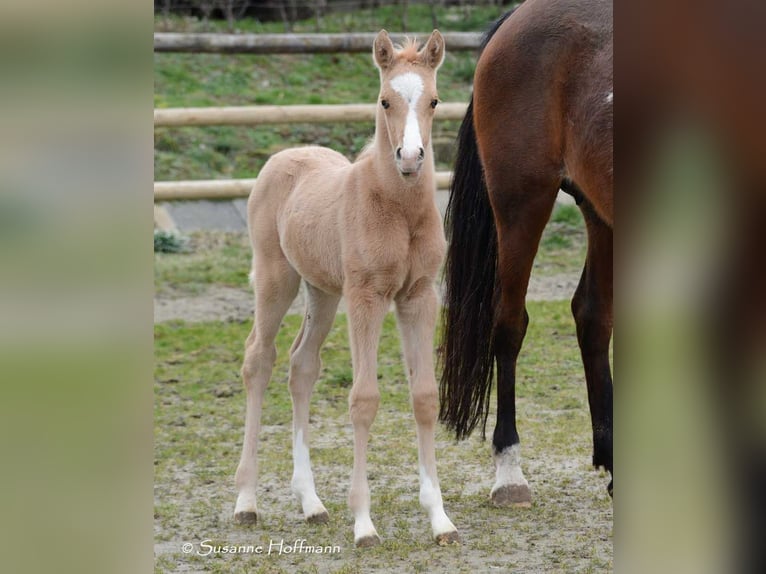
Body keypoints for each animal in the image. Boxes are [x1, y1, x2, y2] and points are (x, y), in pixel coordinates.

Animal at [234, 30, 460, 548]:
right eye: (384, 100)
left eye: (434, 101)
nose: (411, 159)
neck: (396, 209)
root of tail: (283, 156)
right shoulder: (367, 297)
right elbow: (364, 400)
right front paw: (363, 523)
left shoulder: (418, 297)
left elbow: (424, 397)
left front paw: (440, 518)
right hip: (277, 278)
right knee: (259, 359)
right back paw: (246, 501)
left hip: (322, 291)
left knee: (301, 366)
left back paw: (312, 503)